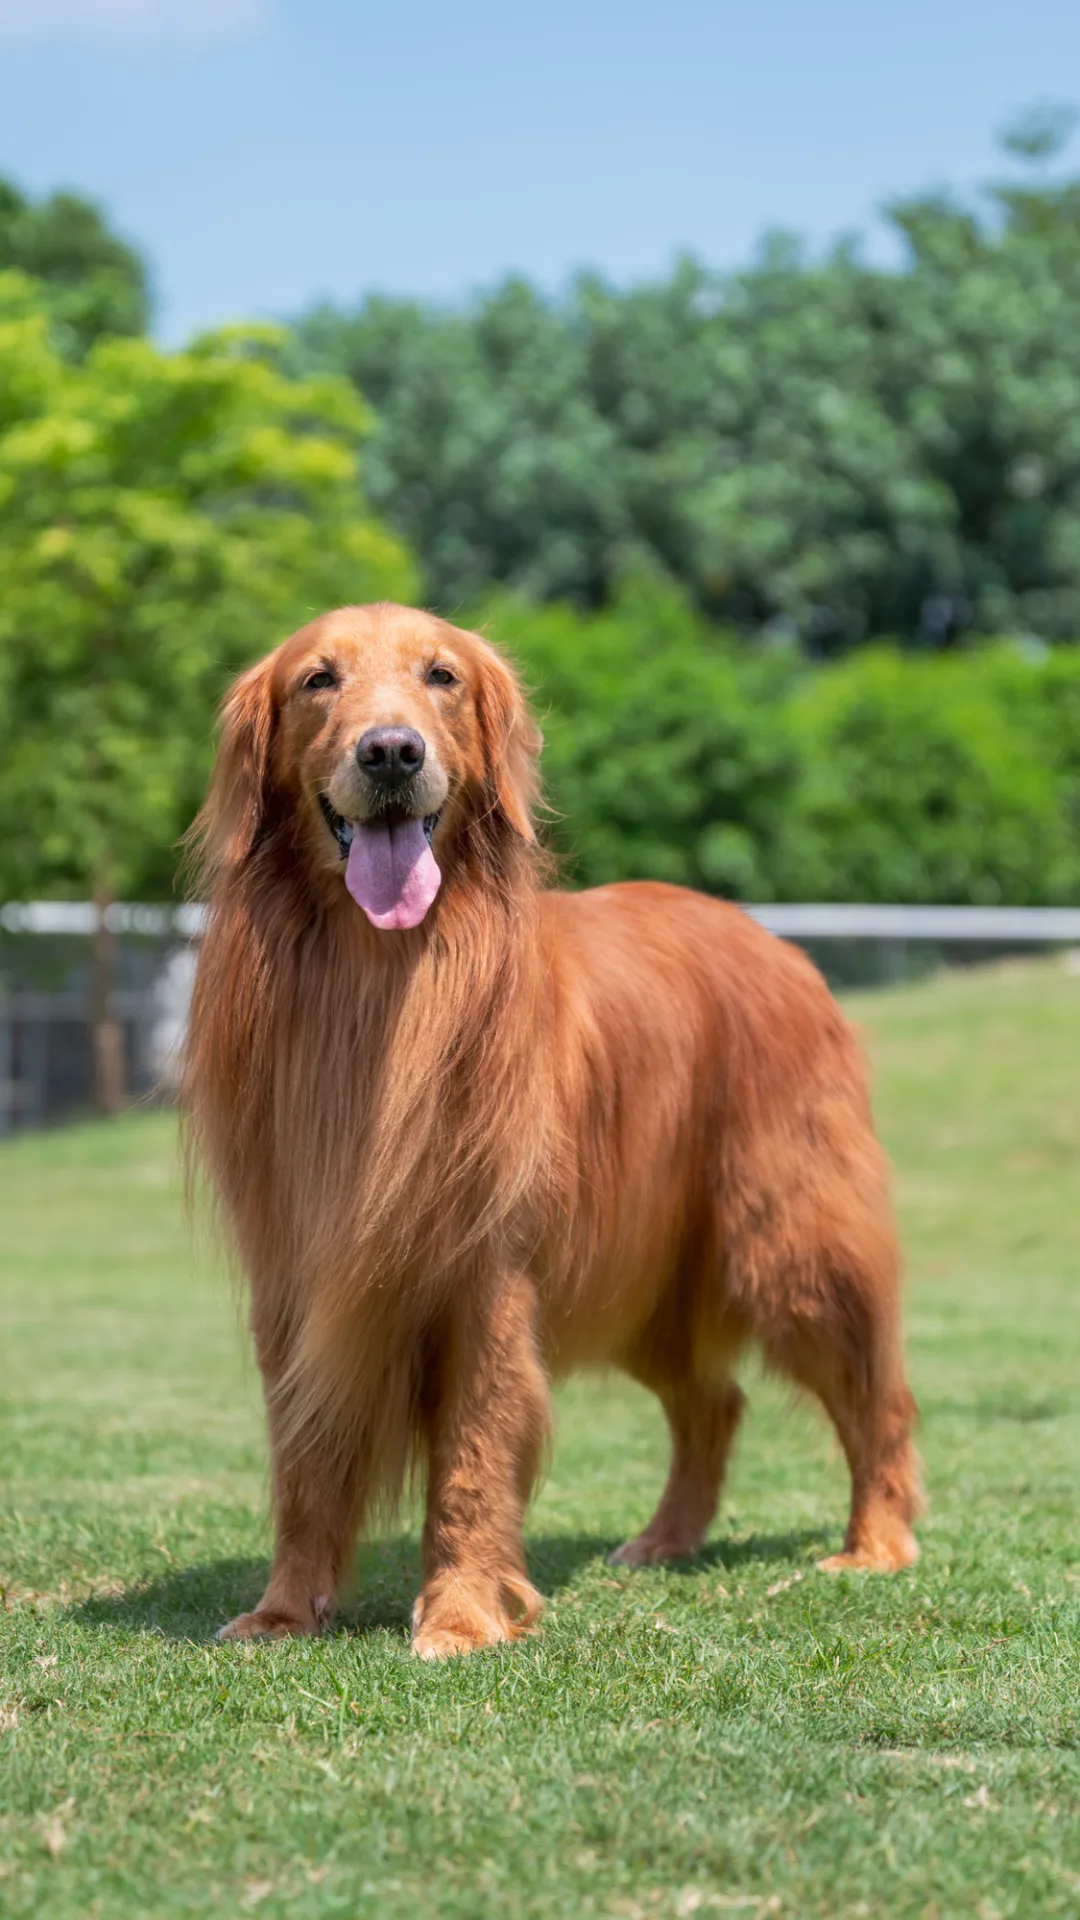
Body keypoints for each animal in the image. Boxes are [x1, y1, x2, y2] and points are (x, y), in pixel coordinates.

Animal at [184, 606, 914, 1658]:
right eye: (318, 680)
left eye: (441, 676)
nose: (392, 752)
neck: (379, 980)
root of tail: (774, 944)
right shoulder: (293, 1276)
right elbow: (305, 1461)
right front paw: (285, 1610)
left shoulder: (485, 1275)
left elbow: (473, 1458)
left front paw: (460, 1614)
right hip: (649, 1279)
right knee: (714, 1401)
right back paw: (664, 1541)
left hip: (789, 1246)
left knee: (875, 1392)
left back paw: (878, 1542)